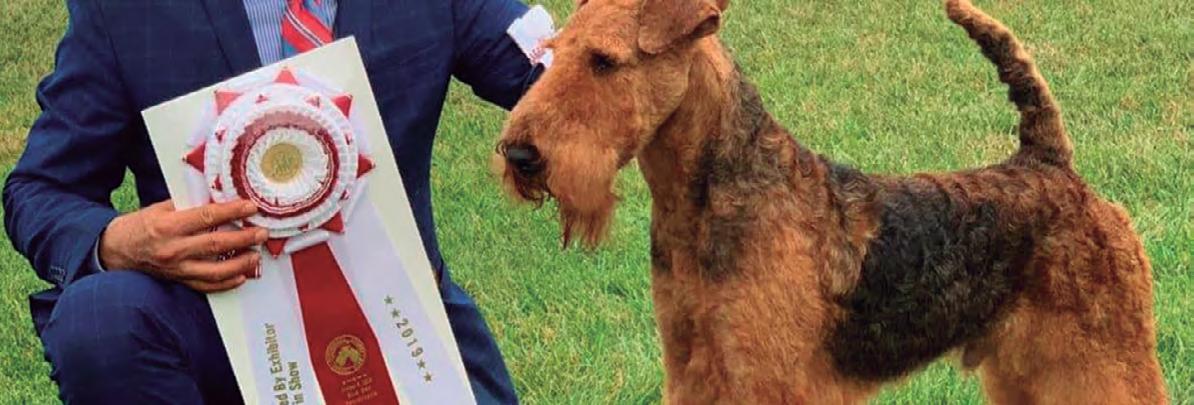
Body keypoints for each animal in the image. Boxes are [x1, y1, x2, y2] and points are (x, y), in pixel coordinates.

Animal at [495, 0, 1168, 402]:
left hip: (1105, 351)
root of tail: (1049, 163)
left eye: (604, 61)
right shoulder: (693, 366)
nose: (521, 154)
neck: (706, 206)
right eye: (553, 52)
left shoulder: (770, 378)